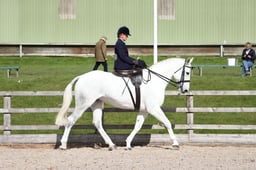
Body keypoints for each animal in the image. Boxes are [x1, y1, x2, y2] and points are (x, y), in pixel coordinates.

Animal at [55, 58, 192, 150]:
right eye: (187, 73)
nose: (185, 90)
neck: (154, 81)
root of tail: (81, 77)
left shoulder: (144, 110)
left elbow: (137, 126)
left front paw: (128, 144)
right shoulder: (154, 108)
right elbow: (167, 122)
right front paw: (175, 143)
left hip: (97, 103)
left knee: (97, 123)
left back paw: (111, 145)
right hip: (83, 104)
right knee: (71, 121)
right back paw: (63, 145)